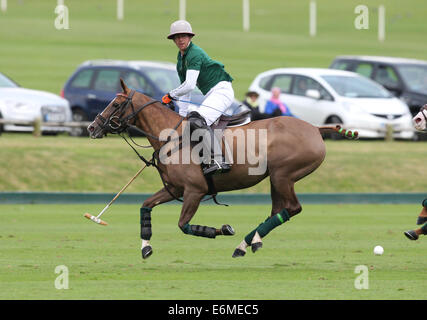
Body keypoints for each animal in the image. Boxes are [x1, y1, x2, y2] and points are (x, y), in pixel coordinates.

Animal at [87, 79, 358, 258]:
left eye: (116, 104)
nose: (92, 127)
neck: (172, 137)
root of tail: (314, 128)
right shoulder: (175, 189)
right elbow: (145, 206)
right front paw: (146, 247)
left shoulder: (194, 191)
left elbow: (184, 225)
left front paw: (224, 229)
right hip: (276, 178)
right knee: (278, 210)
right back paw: (247, 243)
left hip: (284, 175)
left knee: (292, 208)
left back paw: (248, 241)